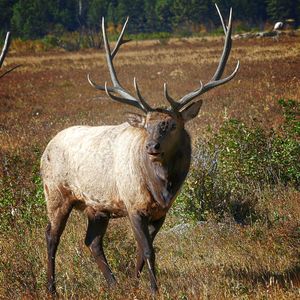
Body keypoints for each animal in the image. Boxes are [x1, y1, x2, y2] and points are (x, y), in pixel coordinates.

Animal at [41, 4, 239, 296]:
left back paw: (113, 284)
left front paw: (135, 285)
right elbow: (147, 251)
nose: (151, 147)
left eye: (171, 124)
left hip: (96, 207)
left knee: (92, 241)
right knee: (51, 236)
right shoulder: (133, 204)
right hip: (55, 193)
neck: (161, 188)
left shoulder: (161, 212)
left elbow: (140, 251)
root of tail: (47, 146)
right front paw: (154, 290)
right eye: (146, 125)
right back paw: (52, 288)